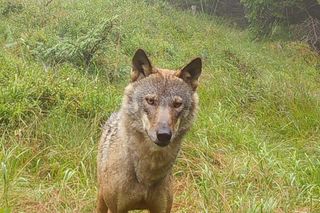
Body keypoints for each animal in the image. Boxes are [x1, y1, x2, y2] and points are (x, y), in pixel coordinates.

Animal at [97, 48, 202, 213]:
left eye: (177, 104)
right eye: (150, 101)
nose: (164, 135)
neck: (146, 177)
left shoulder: (162, 209)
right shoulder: (117, 209)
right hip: (102, 198)